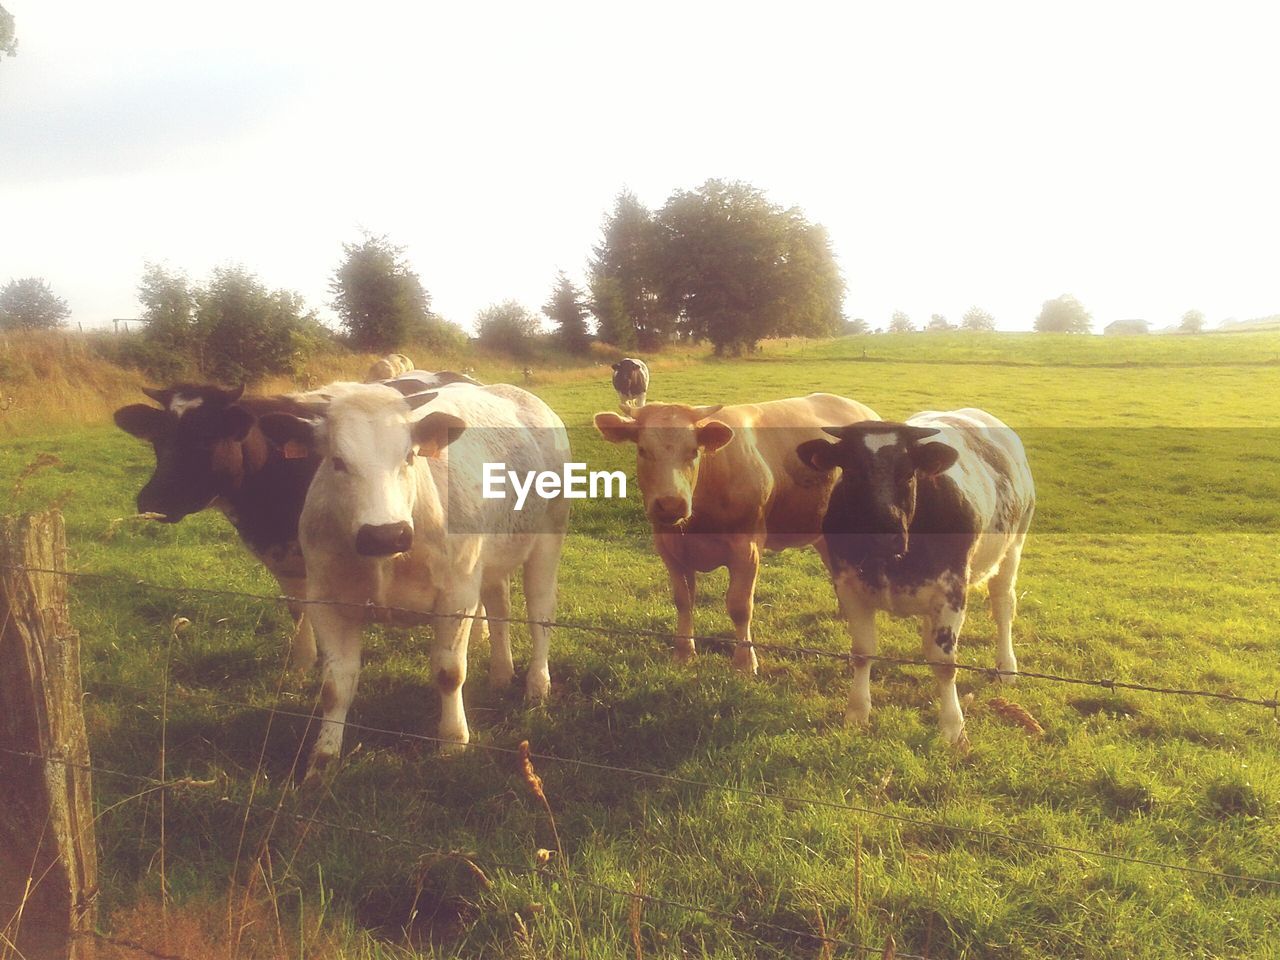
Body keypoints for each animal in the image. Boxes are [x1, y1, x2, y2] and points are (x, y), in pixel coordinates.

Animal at [259, 378, 570, 783]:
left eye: (408, 456)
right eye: (337, 461)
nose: (386, 534)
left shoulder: (457, 597)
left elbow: (449, 672)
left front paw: (453, 741)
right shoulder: (326, 601)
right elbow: (335, 686)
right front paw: (322, 756)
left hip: (548, 537)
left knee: (540, 613)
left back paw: (537, 683)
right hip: (491, 560)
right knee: (500, 607)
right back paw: (502, 673)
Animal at [591, 394, 875, 670]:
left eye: (693, 451)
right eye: (642, 450)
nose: (671, 504)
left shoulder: (746, 547)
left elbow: (740, 606)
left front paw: (745, 661)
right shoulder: (668, 548)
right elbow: (683, 600)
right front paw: (683, 652)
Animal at [793, 409, 1034, 747]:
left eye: (908, 474)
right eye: (851, 472)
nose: (884, 533)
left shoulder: (952, 592)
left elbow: (945, 664)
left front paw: (953, 727)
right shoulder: (849, 586)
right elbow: (862, 652)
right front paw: (857, 712)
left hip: (1013, 547)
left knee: (1003, 608)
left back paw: (1006, 667)